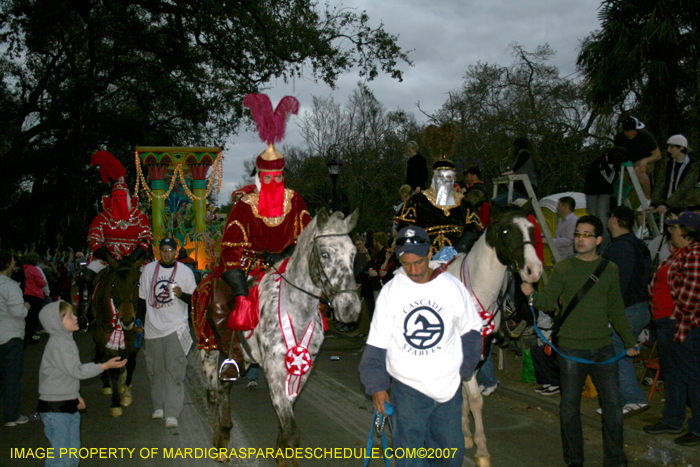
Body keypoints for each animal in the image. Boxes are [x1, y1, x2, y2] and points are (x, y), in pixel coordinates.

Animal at [89, 262, 141, 418]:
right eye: (113, 285)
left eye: (137, 284)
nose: (127, 320)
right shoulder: (107, 340)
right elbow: (113, 370)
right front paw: (116, 403)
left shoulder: (133, 338)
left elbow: (130, 364)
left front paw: (126, 394)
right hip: (99, 336)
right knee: (102, 358)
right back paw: (107, 385)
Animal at [197, 210, 360, 466]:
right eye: (325, 253)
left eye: (353, 254)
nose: (350, 309)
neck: (295, 311)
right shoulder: (273, 369)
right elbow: (292, 432)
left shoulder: (301, 370)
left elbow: (286, 423)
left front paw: (280, 450)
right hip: (209, 352)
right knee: (213, 395)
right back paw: (219, 443)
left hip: (237, 359)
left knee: (225, 388)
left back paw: (225, 430)